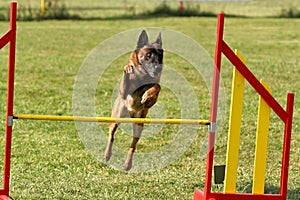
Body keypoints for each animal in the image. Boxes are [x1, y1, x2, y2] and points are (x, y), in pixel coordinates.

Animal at [103, 30, 164, 171]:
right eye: (148, 55)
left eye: (160, 55)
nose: (159, 68)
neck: (143, 76)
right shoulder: (124, 92)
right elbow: (127, 74)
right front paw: (128, 68)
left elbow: (157, 86)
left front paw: (148, 96)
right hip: (116, 118)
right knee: (111, 136)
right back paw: (107, 155)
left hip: (139, 126)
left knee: (133, 145)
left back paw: (127, 164)